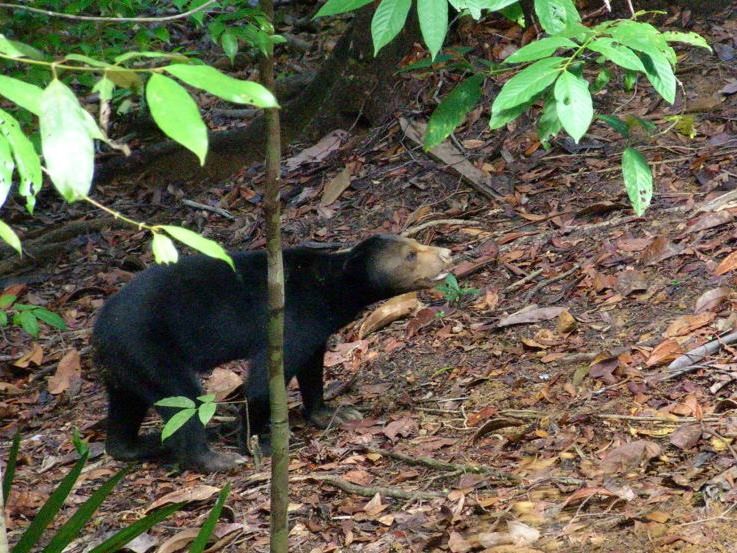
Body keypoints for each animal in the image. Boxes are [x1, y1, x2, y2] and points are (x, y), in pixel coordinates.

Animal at [92, 234, 452, 473]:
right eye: (411, 254)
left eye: (416, 243)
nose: (447, 253)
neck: (329, 287)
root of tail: (98, 332)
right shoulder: (289, 321)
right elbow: (264, 383)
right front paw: (257, 442)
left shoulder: (314, 331)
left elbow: (312, 371)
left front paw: (334, 414)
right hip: (149, 349)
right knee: (183, 399)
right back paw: (218, 460)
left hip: (125, 366)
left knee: (126, 409)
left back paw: (143, 444)